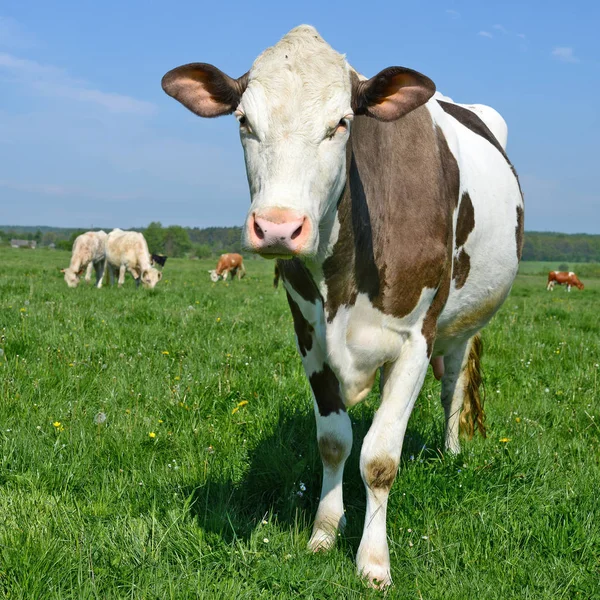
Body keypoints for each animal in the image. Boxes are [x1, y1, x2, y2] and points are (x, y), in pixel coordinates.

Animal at [162, 25, 524, 588]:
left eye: (341, 123)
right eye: (243, 120)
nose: (278, 227)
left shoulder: (416, 338)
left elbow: (379, 458)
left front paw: (373, 562)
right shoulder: (308, 336)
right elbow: (334, 441)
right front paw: (325, 533)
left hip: (461, 325)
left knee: (454, 387)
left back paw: (451, 452)